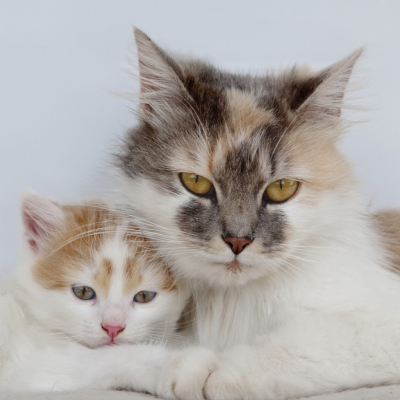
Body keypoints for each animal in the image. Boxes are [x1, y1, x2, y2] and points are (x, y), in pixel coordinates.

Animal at [114, 28, 400, 400]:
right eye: (196, 183)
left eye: (282, 188)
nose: (237, 241)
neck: (228, 304)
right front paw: (182, 370)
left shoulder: (377, 328)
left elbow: (288, 351)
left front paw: (215, 373)